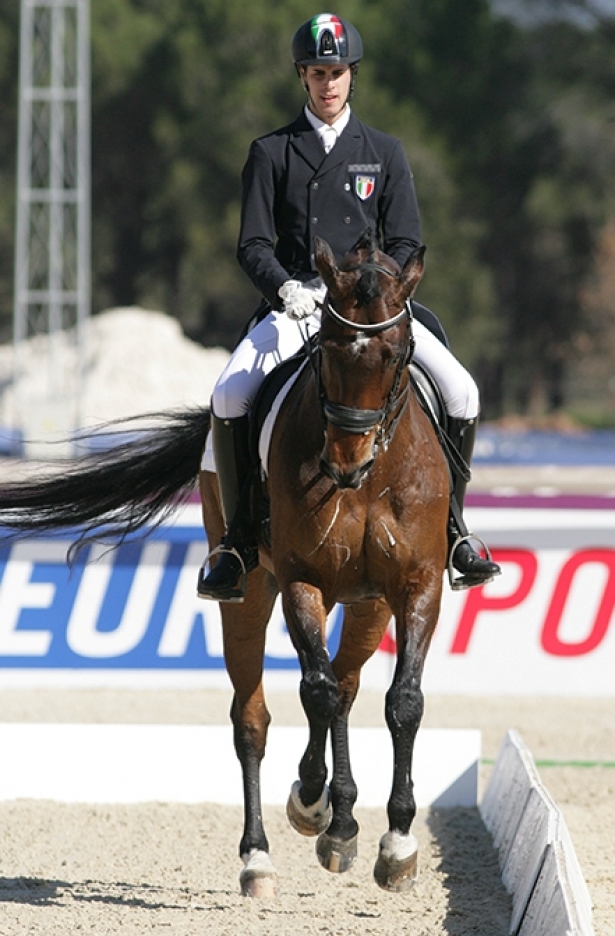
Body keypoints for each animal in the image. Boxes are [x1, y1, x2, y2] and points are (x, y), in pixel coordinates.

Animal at [0, 230, 450, 896]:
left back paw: (340, 815)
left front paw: (395, 845)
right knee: (255, 717)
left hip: (368, 603)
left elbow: (402, 701)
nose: (345, 463)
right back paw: (264, 853)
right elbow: (314, 693)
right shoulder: (302, 581)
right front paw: (316, 808)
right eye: (327, 350)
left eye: (395, 354)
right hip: (251, 590)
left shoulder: (417, 585)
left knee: (346, 685)